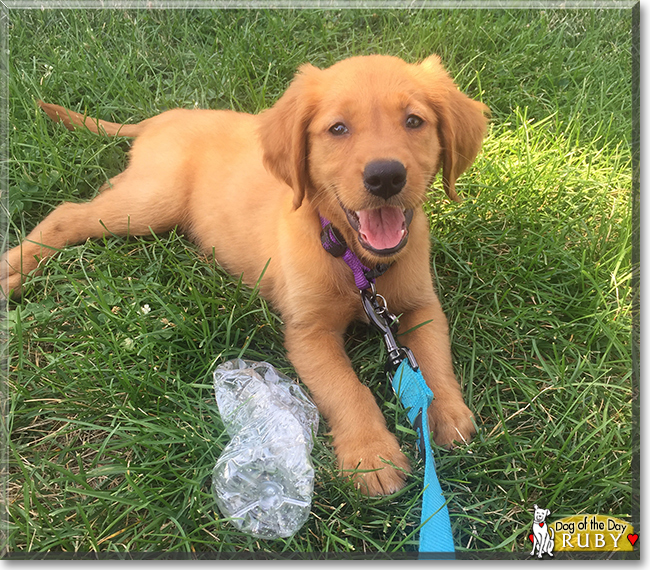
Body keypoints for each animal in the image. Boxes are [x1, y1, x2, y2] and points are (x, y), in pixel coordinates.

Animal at [0, 55, 486, 494]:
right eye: (337, 129)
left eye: (414, 121)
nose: (385, 176)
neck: (355, 261)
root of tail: (160, 119)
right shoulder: (308, 332)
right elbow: (348, 390)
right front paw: (372, 456)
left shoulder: (421, 305)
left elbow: (435, 360)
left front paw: (447, 414)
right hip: (152, 203)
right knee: (67, 215)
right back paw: (13, 271)